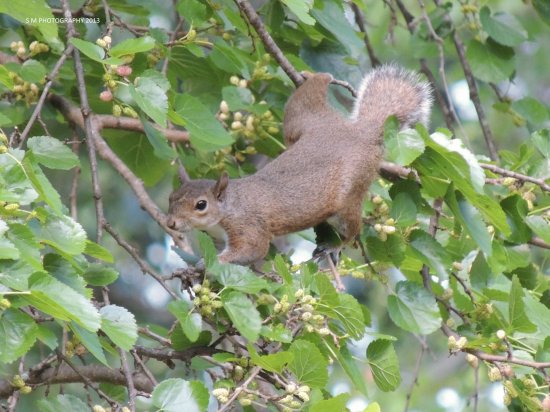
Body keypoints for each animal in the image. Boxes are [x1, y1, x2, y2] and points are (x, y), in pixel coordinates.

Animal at [166, 64, 434, 276]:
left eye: (201, 205)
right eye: (171, 197)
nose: (170, 223)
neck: (229, 206)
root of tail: (361, 133)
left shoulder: (248, 226)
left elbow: (252, 250)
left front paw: (206, 264)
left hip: (350, 193)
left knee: (352, 229)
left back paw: (335, 246)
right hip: (303, 119)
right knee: (308, 96)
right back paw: (314, 75)